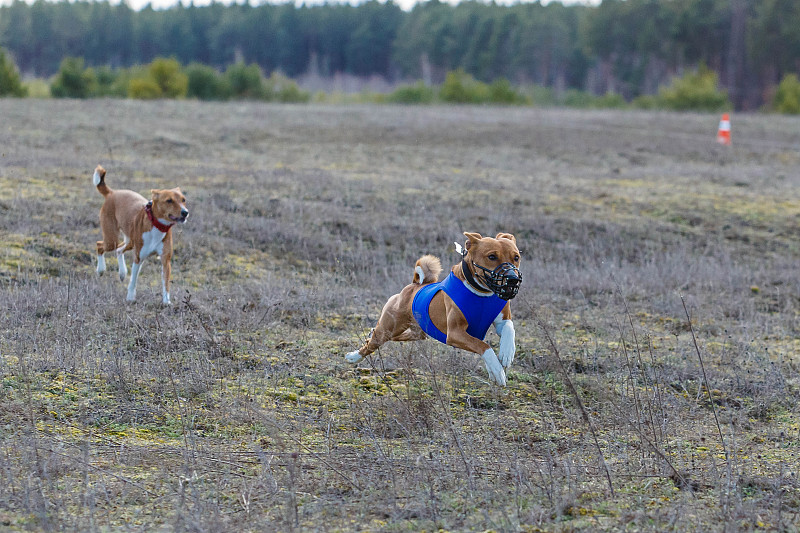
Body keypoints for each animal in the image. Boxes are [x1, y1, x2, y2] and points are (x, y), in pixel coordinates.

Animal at [93, 165, 188, 304]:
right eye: (169, 200)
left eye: (183, 200)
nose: (185, 212)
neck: (157, 226)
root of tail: (112, 193)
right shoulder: (138, 257)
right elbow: (133, 281)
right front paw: (130, 298)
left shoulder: (165, 260)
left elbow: (166, 284)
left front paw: (166, 302)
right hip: (112, 239)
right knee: (100, 245)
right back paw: (101, 270)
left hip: (130, 241)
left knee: (119, 250)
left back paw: (122, 272)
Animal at [346, 231, 520, 384]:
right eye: (492, 256)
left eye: (516, 257)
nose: (513, 279)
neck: (481, 293)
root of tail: (414, 285)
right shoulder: (455, 333)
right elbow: (483, 346)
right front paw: (497, 370)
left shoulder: (502, 320)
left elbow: (509, 328)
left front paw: (507, 353)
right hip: (389, 328)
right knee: (372, 344)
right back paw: (354, 356)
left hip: (416, 333)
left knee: (394, 337)